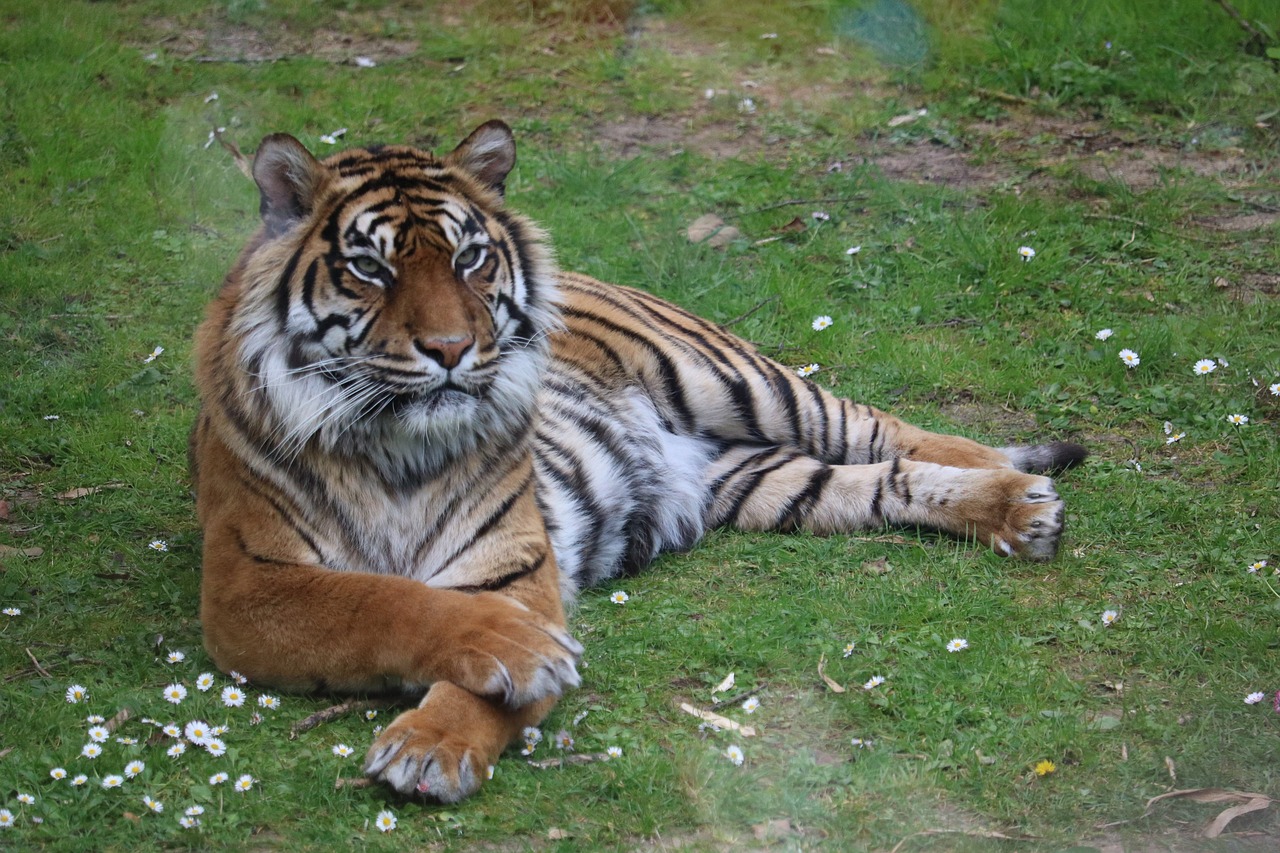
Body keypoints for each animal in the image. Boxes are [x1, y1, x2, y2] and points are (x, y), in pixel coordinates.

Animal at [189, 121, 1085, 804]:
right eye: (369, 267)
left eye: (470, 259)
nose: (450, 348)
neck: (394, 445)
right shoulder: (246, 583)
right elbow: (384, 601)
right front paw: (515, 660)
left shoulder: (516, 566)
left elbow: (460, 650)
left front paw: (434, 741)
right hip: (760, 481)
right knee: (880, 480)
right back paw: (1019, 513)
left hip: (749, 383)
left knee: (888, 428)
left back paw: (1026, 494)